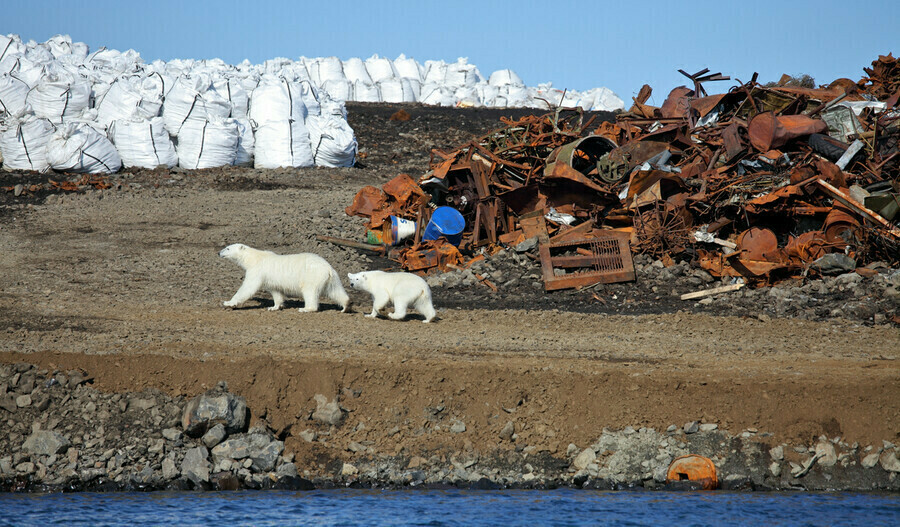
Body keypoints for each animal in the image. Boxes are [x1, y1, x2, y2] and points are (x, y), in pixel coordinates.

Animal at [220, 244, 350, 314]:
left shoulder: (257, 270)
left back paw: (305, 308)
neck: (254, 258)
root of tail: (328, 268)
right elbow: (276, 291)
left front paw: (228, 302)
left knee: (309, 291)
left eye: (228, 248)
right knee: (335, 291)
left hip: (312, 275)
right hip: (331, 278)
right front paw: (273, 307)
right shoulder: (271, 279)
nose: (219, 253)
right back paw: (346, 306)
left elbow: (248, 287)